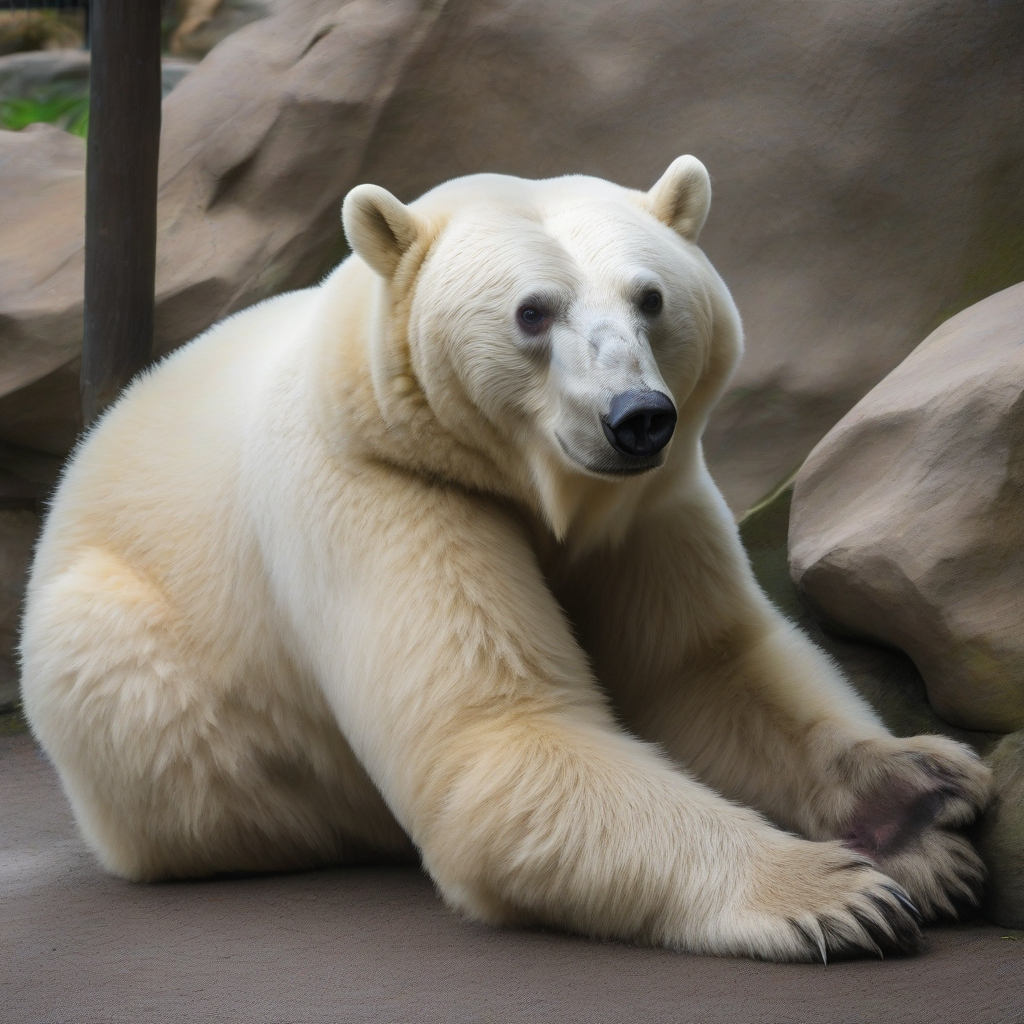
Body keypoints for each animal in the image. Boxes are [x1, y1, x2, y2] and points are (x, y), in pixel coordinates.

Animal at [18, 157, 991, 958]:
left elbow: (702, 665)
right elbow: (501, 734)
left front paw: (924, 798)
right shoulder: (382, 487)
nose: (637, 416)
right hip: (139, 681)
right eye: (534, 310)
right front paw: (836, 893)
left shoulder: (648, 503)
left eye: (651, 299)